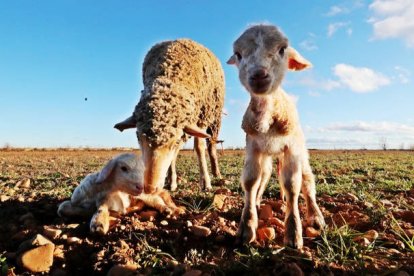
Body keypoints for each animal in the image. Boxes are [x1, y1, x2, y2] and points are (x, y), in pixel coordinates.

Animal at [226, 24, 326, 248]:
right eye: (238, 54)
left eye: (282, 49)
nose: (258, 75)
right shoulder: (253, 146)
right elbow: (251, 181)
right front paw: (247, 226)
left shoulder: (292, 148)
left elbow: (292, 185)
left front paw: (293, 233)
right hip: (267, 156)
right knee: (264, 177)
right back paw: (257, 202)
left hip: (301, 152)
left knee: (307, 181)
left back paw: (315, 217)